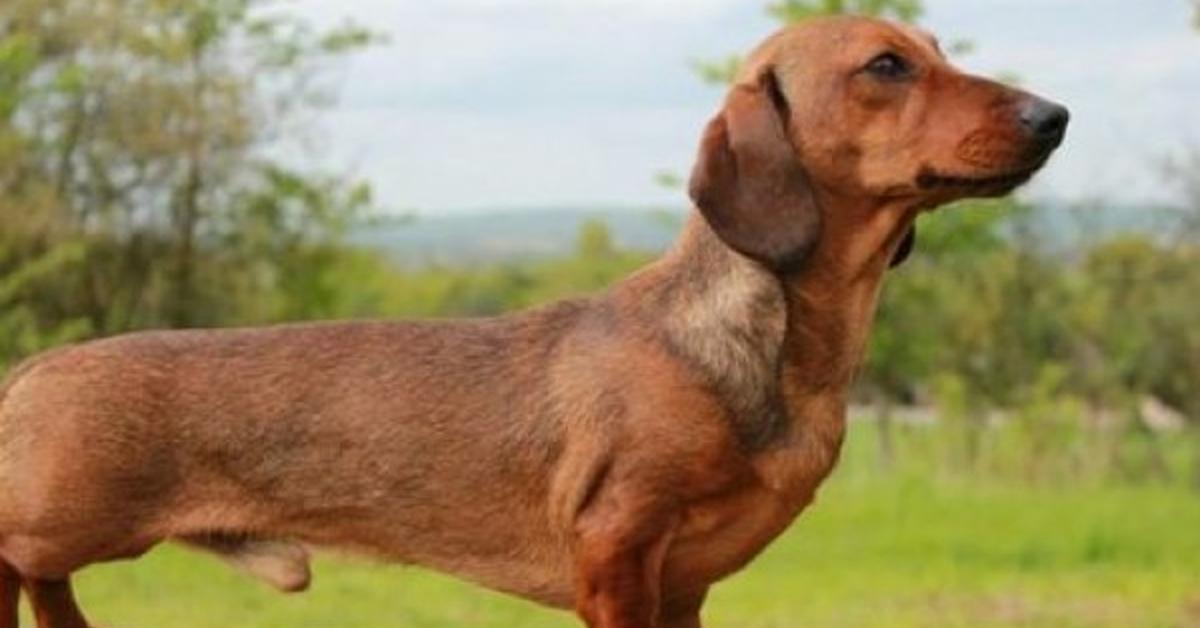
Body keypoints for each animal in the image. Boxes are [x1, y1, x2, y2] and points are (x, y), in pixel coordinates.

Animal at [0, 13, 1065, 628]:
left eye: (938, 52)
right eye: (886, 65)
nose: (1053, 115)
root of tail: (33, 369)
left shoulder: (684, 589)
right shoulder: (618, 553)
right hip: (54, 524)